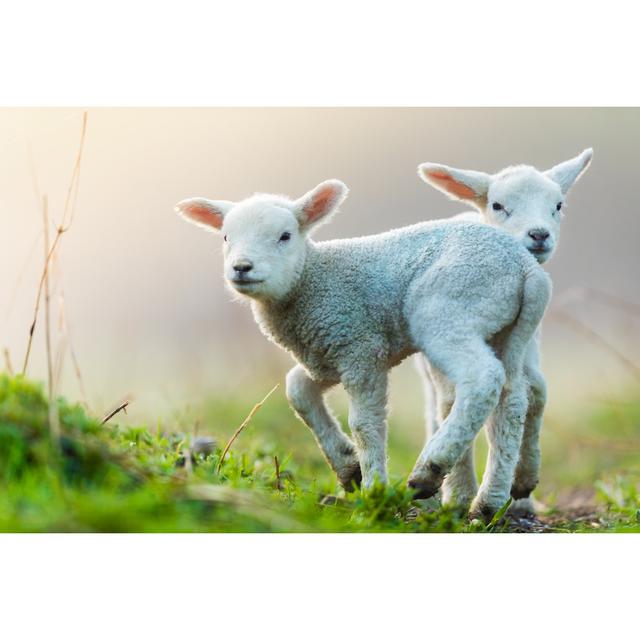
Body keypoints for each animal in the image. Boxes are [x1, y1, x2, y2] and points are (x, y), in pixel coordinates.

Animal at [175, 178, 552, 516]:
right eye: (226, 237)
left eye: (284, 236)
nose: (241, 267)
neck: (311, 280)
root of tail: (526, 270)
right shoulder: (325, 352)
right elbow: (297, 389)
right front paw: (348, 468)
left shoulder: (359, 346)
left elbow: (364, 423)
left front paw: (374, 492)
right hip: (505, 330)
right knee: (513, 398)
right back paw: (493, 499)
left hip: (451, 310)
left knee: (483, 379)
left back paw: (430, 471)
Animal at [416, 150, 596, 516]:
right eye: (498, 205)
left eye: (558, 205)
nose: (539, 234)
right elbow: (453, 404)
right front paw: (461, 492)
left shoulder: (527, 349)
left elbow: (536, 396)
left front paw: (521, 485)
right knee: (444, 406)